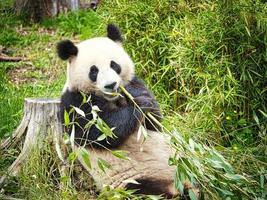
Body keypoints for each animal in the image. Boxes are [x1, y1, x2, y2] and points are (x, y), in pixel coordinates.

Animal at [56, 23, 186, 198]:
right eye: (94, 71)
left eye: (114, 65)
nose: (111, 85)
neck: (112, 98)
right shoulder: (74, 103)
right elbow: (103, 130)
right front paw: (140, 105)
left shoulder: (133, 83)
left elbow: (154, 122)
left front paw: (141, 98)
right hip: (134, 181)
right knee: (146, 190)